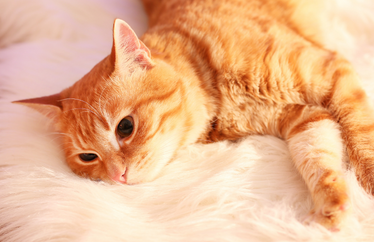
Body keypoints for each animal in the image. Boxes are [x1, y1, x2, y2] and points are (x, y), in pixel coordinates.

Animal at [13, 0, 374, 231]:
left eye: (125, 127)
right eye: (88, 157)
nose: (118, 177)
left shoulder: (331, 71)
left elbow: (361, 134)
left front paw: (368, 187)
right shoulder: (303, 118)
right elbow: (318, 158)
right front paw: (332, 203)